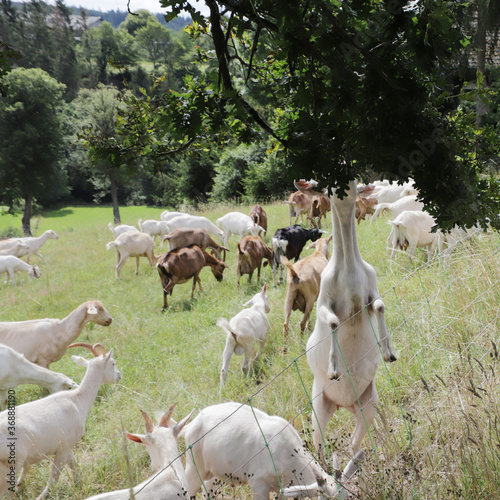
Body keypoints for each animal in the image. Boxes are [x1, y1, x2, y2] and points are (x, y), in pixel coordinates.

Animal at [0, 344, 121, 500]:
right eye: (113, 363)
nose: (119, 376)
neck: (77, 400)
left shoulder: (67, 446)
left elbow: (74, 464)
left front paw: (78, 483)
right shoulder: (63, 447)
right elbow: (54, 476)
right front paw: (42, 496)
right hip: (12, 462)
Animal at [182, 402, 362, 500]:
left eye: (349, 496)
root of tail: (194, 423)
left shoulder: (284, 489)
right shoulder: (258, 484)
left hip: (215, 474)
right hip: (194, 469)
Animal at [294, 179, 396, 460]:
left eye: (357, 184)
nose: (344, 191)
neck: (349, 268)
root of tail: (344, 405)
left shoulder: (371, 290)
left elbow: (380, 305)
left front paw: (388, 352)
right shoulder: (323, 302)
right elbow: (333, 322)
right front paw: (333, 368)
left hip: (368, 404)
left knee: (353, 444)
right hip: (319, 406)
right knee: (320, 445)